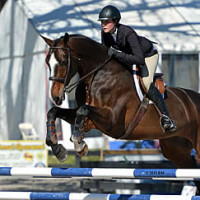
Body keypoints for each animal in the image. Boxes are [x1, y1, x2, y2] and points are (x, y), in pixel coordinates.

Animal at [42, 33, 200, 192]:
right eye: (47, 62)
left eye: (63, 62)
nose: (55, 97)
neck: (97, 76)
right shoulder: (90, 122)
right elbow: (54, 112)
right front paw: (58, 148)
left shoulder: (113, 122)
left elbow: (83, 110)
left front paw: (78, 143)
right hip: (175, 149)